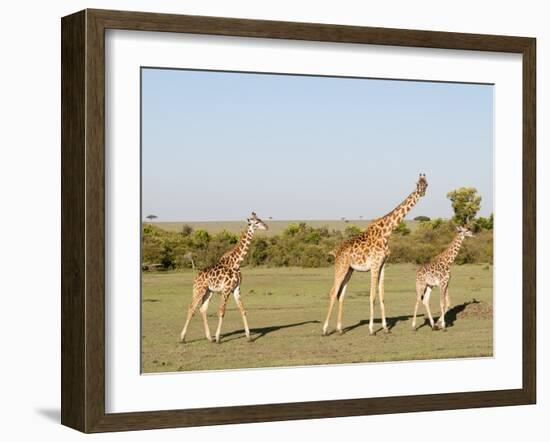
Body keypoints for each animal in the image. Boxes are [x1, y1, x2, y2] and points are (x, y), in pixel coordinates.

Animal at [180, 212, 268, 344]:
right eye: (256, 222)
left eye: (260, 219)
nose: (266, 226)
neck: (236, 263)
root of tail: (196, 277)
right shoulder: (226, 289)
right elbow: (221, 312)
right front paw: (218, 338)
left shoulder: (236, 289)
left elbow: (243, 310)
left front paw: (249, 337)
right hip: (199, 290)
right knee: (191, 308)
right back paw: (183, 338)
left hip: (208, 291)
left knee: (202, 309)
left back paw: (209, 337)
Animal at [326, 174, 430, 336]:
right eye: (417, 184)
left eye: (426, 184)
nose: (422, 192)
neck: (387, 233)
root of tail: (336, 250)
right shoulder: (374, 265)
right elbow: (372, 295)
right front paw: (371, 329)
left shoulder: (383, 265)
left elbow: (381, 295)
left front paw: (386, 327)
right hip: (341, 266)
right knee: (332, 292)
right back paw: (325, 329)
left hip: (349, 270)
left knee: (340, 294)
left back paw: (340, 329)